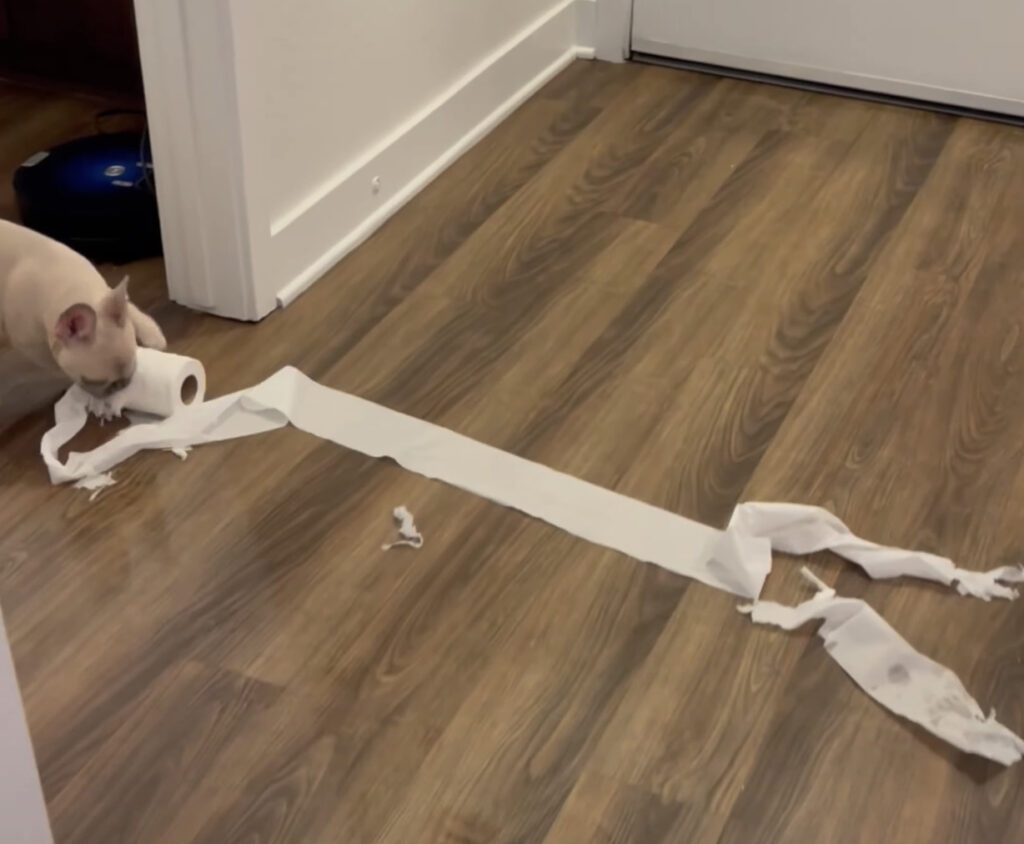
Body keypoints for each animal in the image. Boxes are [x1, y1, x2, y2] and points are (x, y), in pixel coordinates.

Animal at [0, 219, 166, 398]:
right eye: (92, 381)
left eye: (133, 365)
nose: (121, 385)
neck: (71, 289)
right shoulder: (34, 347)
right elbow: (55, 364)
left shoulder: (108, 294)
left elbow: (129, 306)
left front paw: (152, 333)